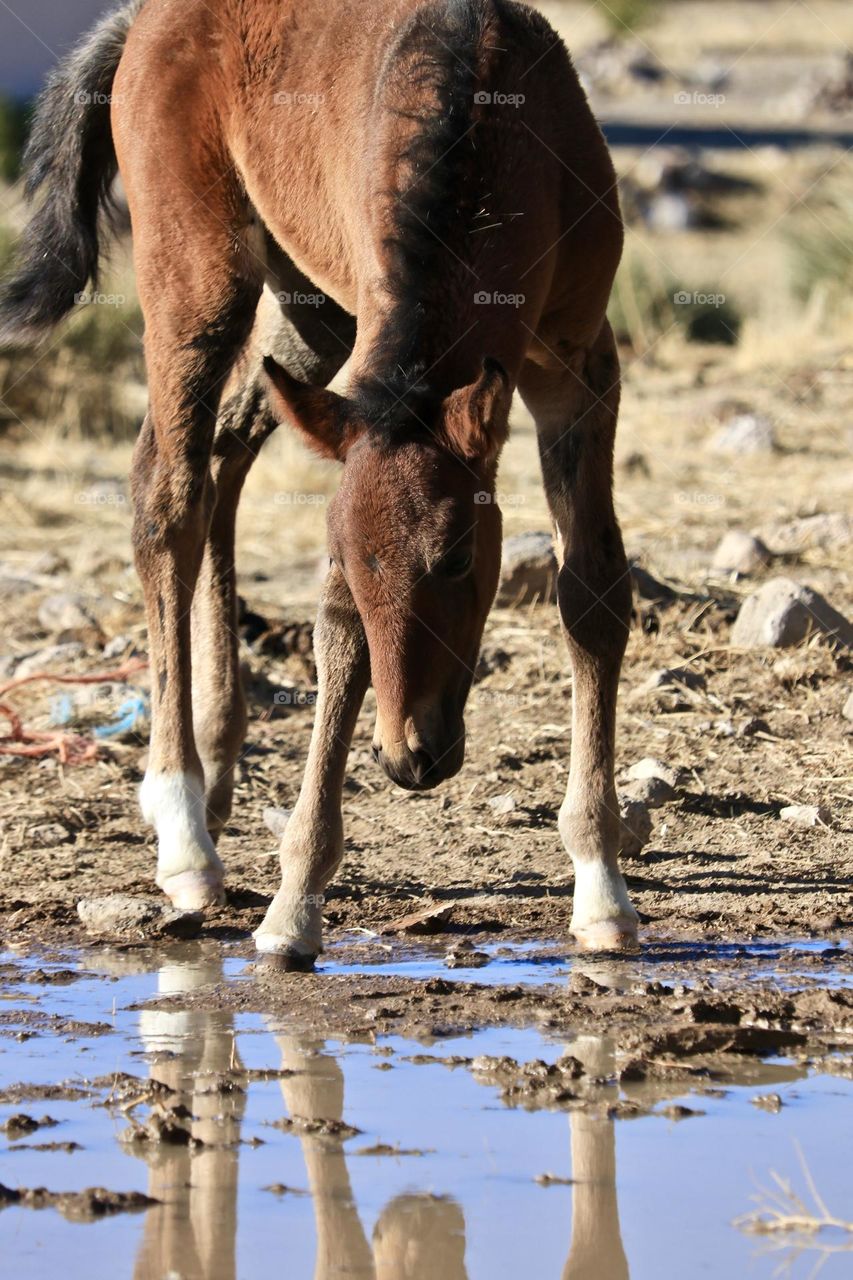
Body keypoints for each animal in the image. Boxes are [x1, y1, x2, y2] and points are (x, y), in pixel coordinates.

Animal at [0, 0, 637, 962]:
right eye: (348, 557)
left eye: (458, 558)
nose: (409, 756)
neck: (494, 120)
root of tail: (140, 21)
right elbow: (337, 627)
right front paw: (294, 903)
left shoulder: (577, 368)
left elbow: (592, 594)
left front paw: (601, 888)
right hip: (199, 275)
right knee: (168, 493)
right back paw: (184, 832)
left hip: (310, 314)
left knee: (223, 458)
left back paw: (217, 770)